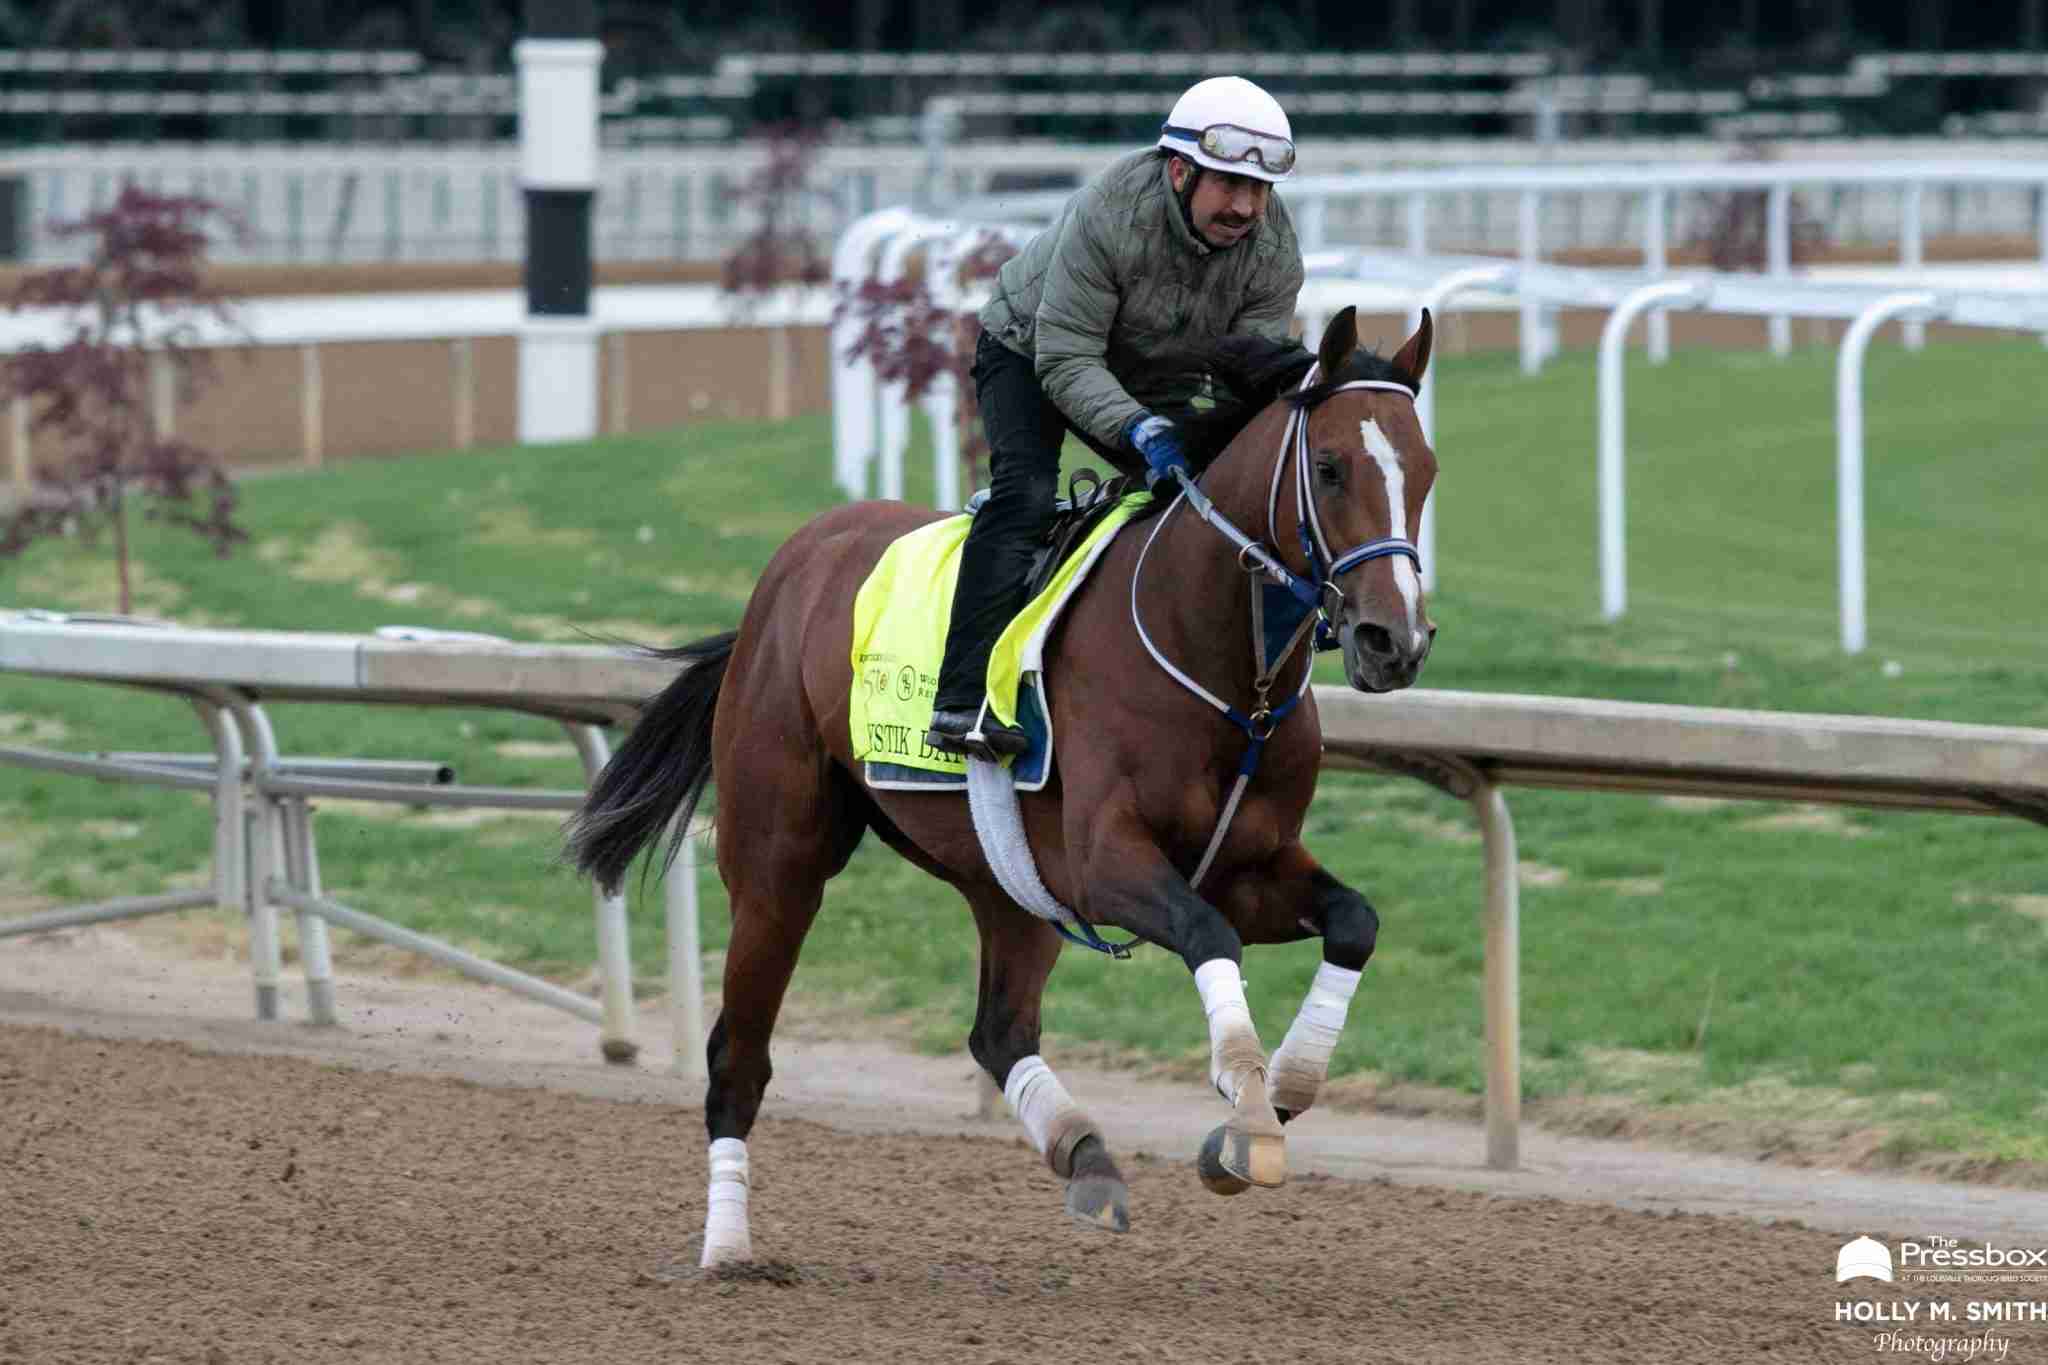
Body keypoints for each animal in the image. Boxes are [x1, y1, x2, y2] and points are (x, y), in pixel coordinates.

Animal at [566, 305, 1438, 1266]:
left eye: (1427, 470)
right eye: (1330, 467)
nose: (1394, 641)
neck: (1220, 669)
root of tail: (786, 571)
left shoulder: (1247, 863)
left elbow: (1354, 921)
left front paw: (1280, 1090)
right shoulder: (1106, 865)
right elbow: (1210, 936)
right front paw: (1247, 1109)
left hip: (1010, 883)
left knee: (997, 1028)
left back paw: (1083, 1151)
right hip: (779, 862)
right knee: (738, 1052)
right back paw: (727, 1246)